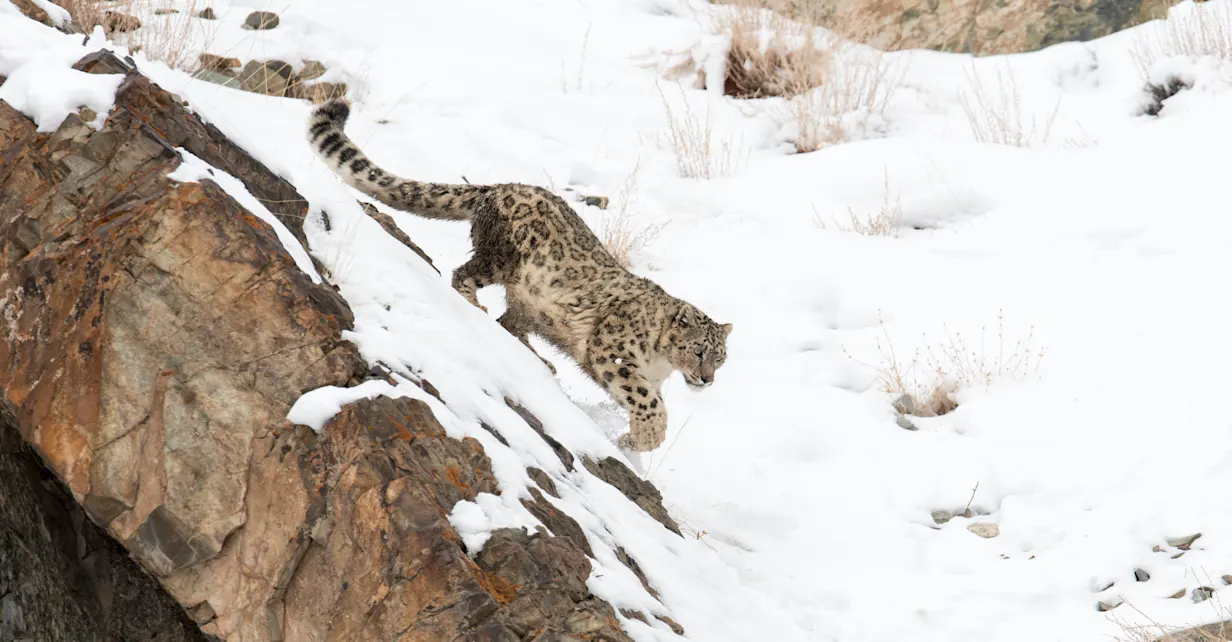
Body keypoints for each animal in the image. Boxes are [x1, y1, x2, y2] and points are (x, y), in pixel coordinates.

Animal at [307, 99, 732, 451]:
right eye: (698, 350)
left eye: (720, 358)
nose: (707, 379)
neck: (662, 363)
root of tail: (502, 187)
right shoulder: (613, 352)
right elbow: (647, 400)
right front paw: (644, 438)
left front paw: (633, 439)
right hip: (502, 257)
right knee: (464, 276)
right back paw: (476, 306)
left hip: (530, 304)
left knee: (510, 321)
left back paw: (541, 359)